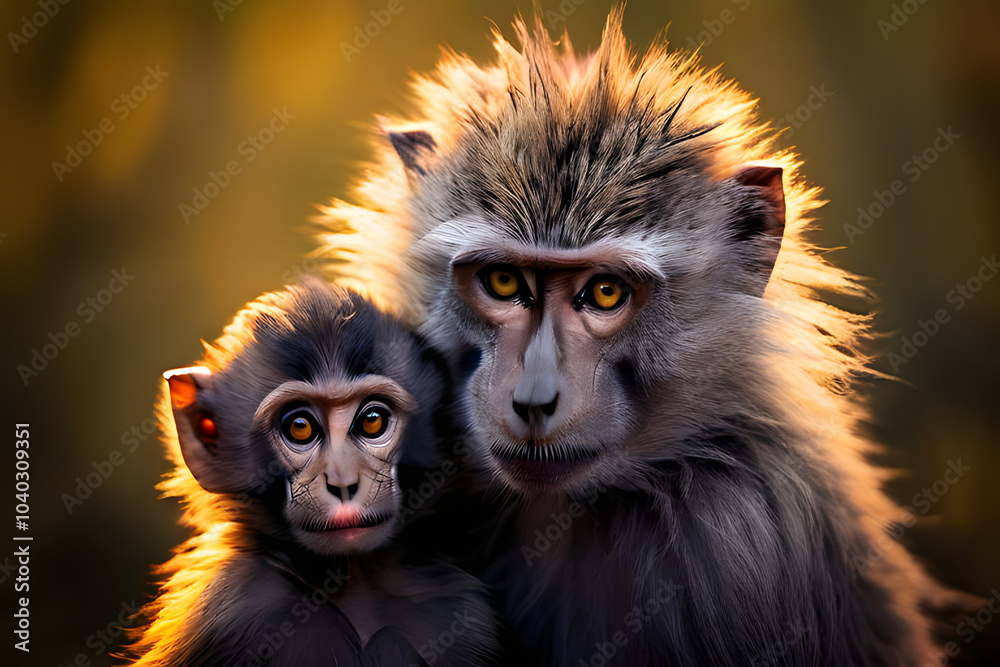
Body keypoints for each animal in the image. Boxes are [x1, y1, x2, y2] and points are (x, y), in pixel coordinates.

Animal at [125, 280, 498, 667]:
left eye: (372, 420)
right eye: (300, 427)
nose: (343, 483)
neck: (352, 580)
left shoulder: (459, 609)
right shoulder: (229, 608)